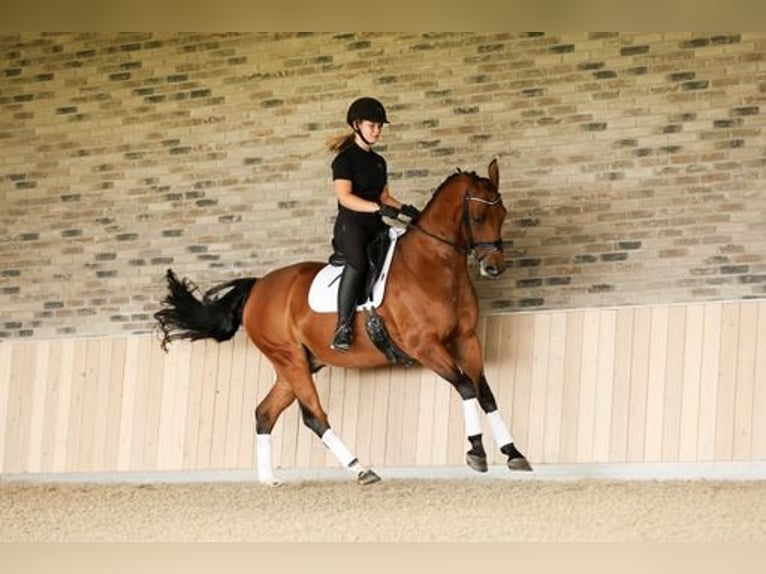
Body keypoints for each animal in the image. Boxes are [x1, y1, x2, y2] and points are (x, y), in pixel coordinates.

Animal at [156, 161, 536, 486]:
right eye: (478, 215)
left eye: (503, 213)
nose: (493, 267)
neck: (435, 266)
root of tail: (259, 286)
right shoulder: (425, 346)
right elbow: (466, 387)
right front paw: (476, 452)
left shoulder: (467, 339)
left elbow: (485, 393)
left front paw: (513, 453)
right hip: (290, 359)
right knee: (313, 416)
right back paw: (360, 469)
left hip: (299, 362)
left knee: (264, 412)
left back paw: (269, 479)